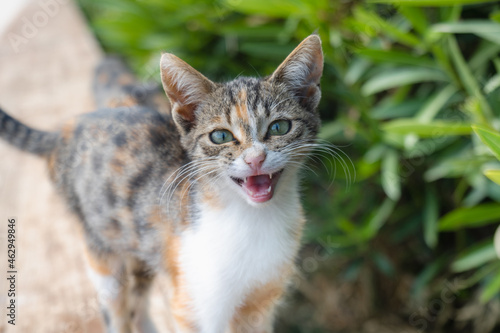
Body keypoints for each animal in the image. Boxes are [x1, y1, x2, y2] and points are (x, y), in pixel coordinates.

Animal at [0, 34, 324, 332]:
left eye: (279, 127)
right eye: (220, 136)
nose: (256, 158)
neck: (252, 220)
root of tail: (67, 128)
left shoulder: (261, 304)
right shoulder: (196, 303)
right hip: (100, 245)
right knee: (116, 306)